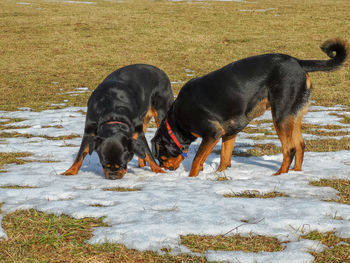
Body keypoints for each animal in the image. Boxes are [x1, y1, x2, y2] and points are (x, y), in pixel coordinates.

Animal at [152, 38, 348, 178]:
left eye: (162, 157)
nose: (166, 169)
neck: (178, 120)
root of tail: (298, 62)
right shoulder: (228, 133)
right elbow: (224, 158)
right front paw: (219, 176)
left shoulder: (212, 133)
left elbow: (196, 161)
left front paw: (191, 179)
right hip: (294, 114)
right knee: (300, 145)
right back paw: (295, 175)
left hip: (280, 115)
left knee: (290, 149)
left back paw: (279, 175)